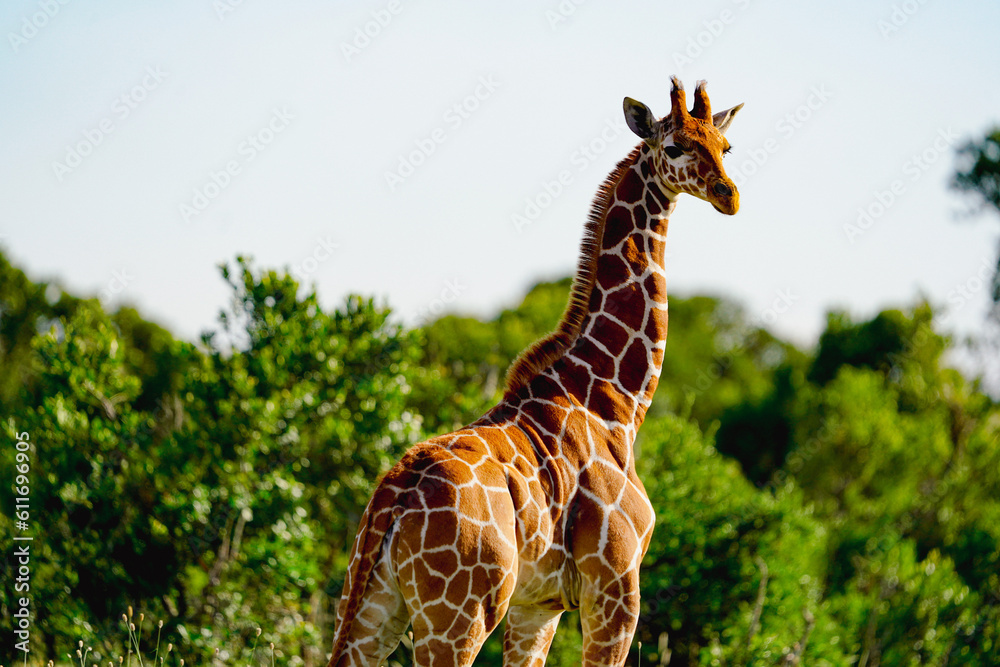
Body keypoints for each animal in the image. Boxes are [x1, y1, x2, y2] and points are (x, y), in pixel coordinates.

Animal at [327, 76, 742, 667]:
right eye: (675, 146)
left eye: (725, 146)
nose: (729, 195)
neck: (615, 401)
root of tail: (392, 498)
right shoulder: (616, 585)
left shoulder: (538, 605)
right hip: (460, 614)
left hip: (370, 605)